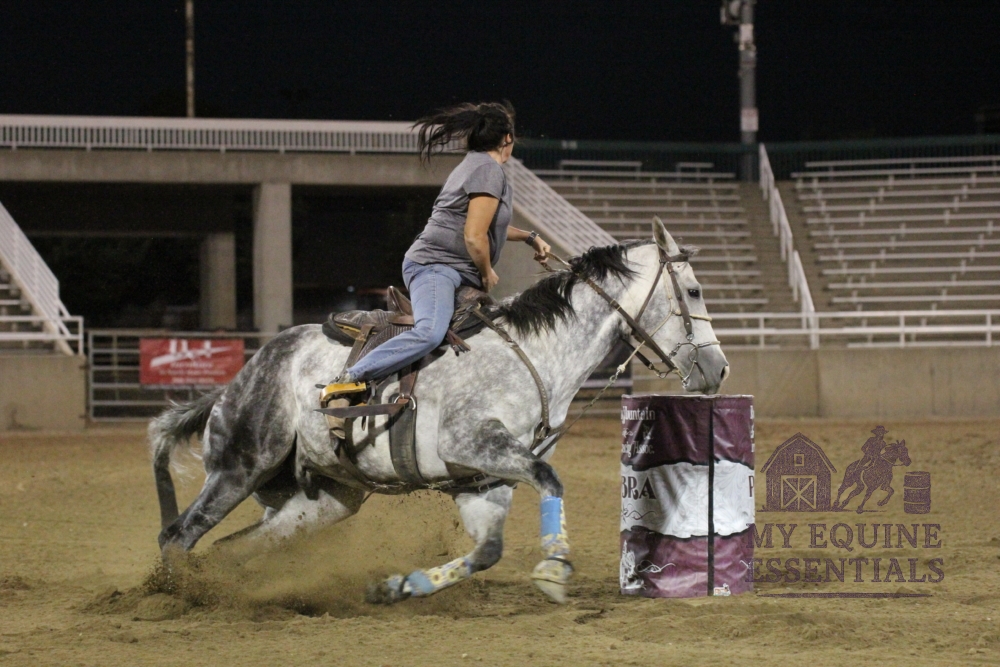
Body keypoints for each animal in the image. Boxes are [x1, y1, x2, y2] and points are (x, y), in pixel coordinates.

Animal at [148, 218, 730, 605]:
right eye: (695, 289)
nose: (719, 369)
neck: (533, 353)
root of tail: (235, 383)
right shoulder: (473, 443)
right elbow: (551, 479)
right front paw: (554, 567)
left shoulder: (483, 482)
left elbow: (488, 550)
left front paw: (401, 585)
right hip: (239, 466)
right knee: (177, 536)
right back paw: (176, 595)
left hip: (322, 500)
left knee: (228, 548)